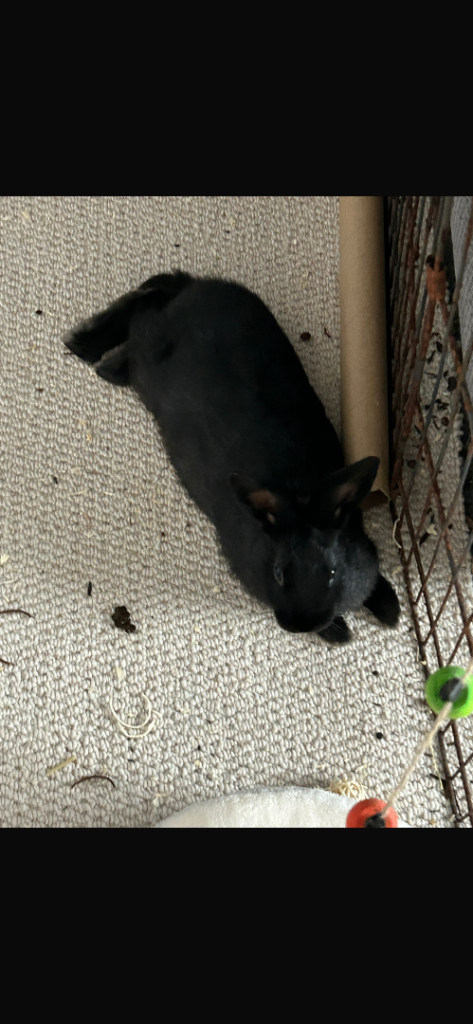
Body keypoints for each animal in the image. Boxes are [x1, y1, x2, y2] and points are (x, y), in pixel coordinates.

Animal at [65, 272, 400, 643]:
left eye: (331, 573)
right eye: (279, 574)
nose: (299, 625)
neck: (298, 490)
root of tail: (193, 287)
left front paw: (391, 611)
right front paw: (342, 634)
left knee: (157, 292)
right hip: (149, 356)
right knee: (142, 315)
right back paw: (93, 354)